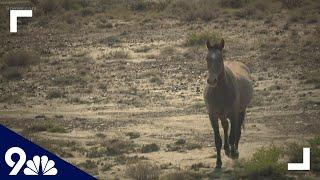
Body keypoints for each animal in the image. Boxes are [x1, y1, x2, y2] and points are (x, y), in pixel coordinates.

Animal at [205, 38, 252, 169]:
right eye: (207, 58)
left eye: (220, 58)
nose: (212, 81)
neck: (220, 92)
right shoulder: (213, 116)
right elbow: (217, 140)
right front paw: (218, 163)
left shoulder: (233, 114)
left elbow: (233, 136)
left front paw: (234, 153)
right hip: (222, 115)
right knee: (225, 126)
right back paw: (227, 149)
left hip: (241, 112)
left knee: (237, 132)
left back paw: (234, 151)